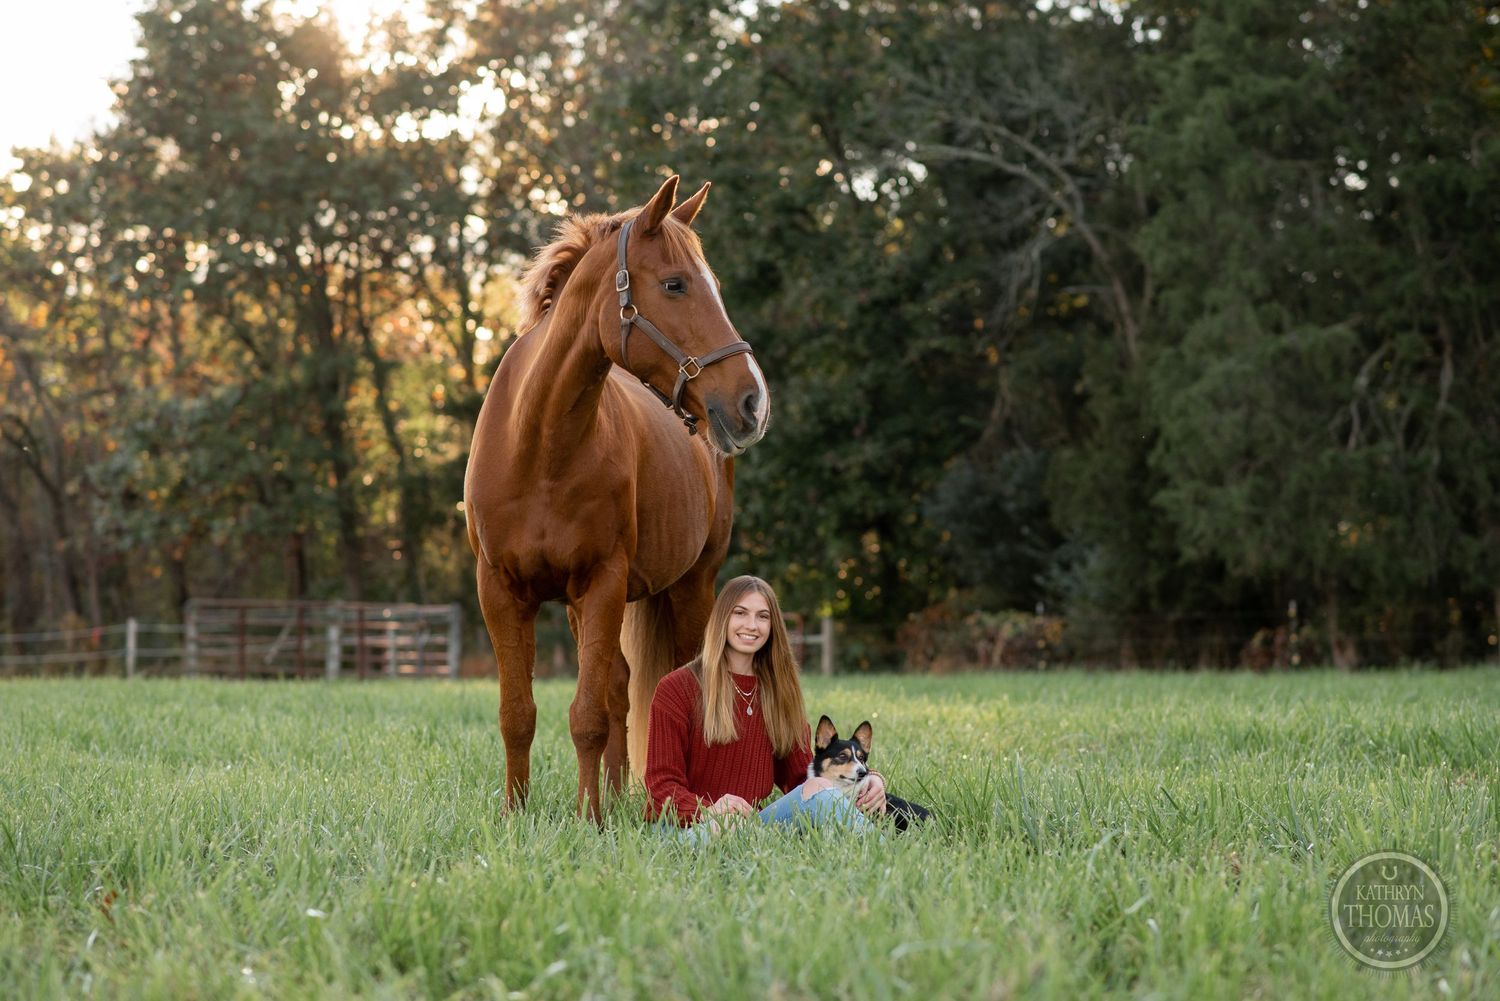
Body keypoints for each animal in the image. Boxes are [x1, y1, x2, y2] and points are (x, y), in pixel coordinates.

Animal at [464, 176, 770, 820]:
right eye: (675, 283)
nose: (753, 402)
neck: (540, 447)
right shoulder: (501, 591)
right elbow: (519, 714)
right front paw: (516, 815)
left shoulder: (602, 581)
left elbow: (587, 717)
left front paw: (590, 819)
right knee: (620, 687)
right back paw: (620, 790)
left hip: (690, 585)